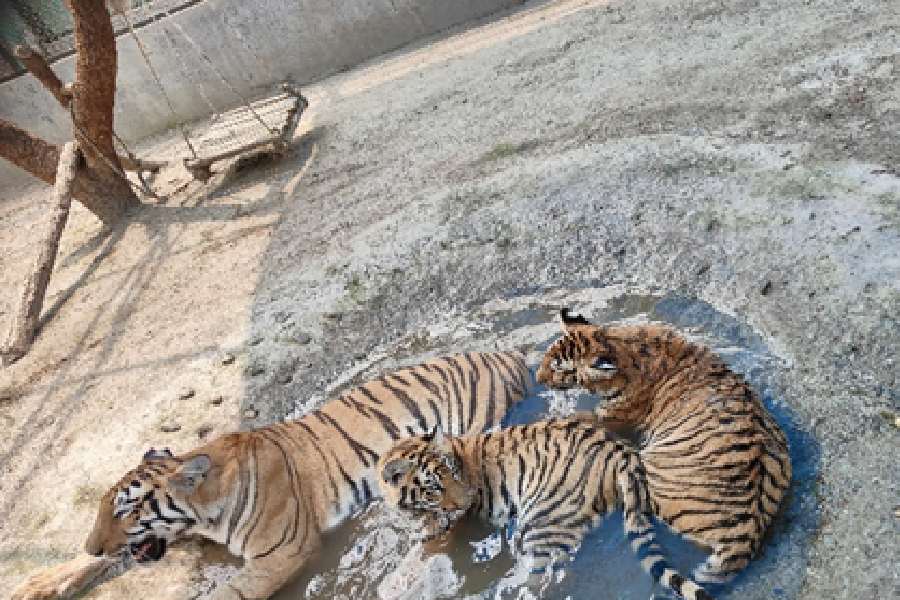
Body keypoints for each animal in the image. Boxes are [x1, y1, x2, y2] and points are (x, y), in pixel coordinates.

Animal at [10, 352, 532, 600]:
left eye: (129, 508)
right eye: (104, 509)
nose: (95, 543)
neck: (202, 513)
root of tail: (510, 357)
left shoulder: (281, 552)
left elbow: (227, 592)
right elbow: (90, 563)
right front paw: (38, 583)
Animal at [536, 312, 792, 588]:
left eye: (559, 367)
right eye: (549, 356)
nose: (537, 378)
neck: (621, 344)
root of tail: (748, 533)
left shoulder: (611, 418)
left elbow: (575, 417)